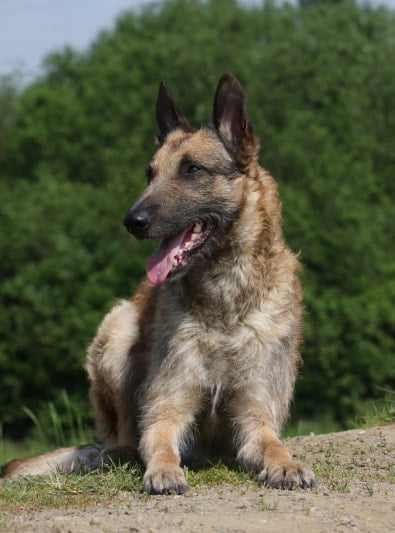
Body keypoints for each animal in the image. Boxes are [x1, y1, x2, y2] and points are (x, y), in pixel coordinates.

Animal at [0, 72, 316, 492]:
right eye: (150, 175)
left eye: (193, 170)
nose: (131, 221)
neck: (224, 300)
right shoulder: (166, 408)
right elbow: (160, 442)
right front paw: (164, 470)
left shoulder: (256, 418)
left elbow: (271, 444)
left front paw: (285, 464)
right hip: (117, 330)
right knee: (123, 441)